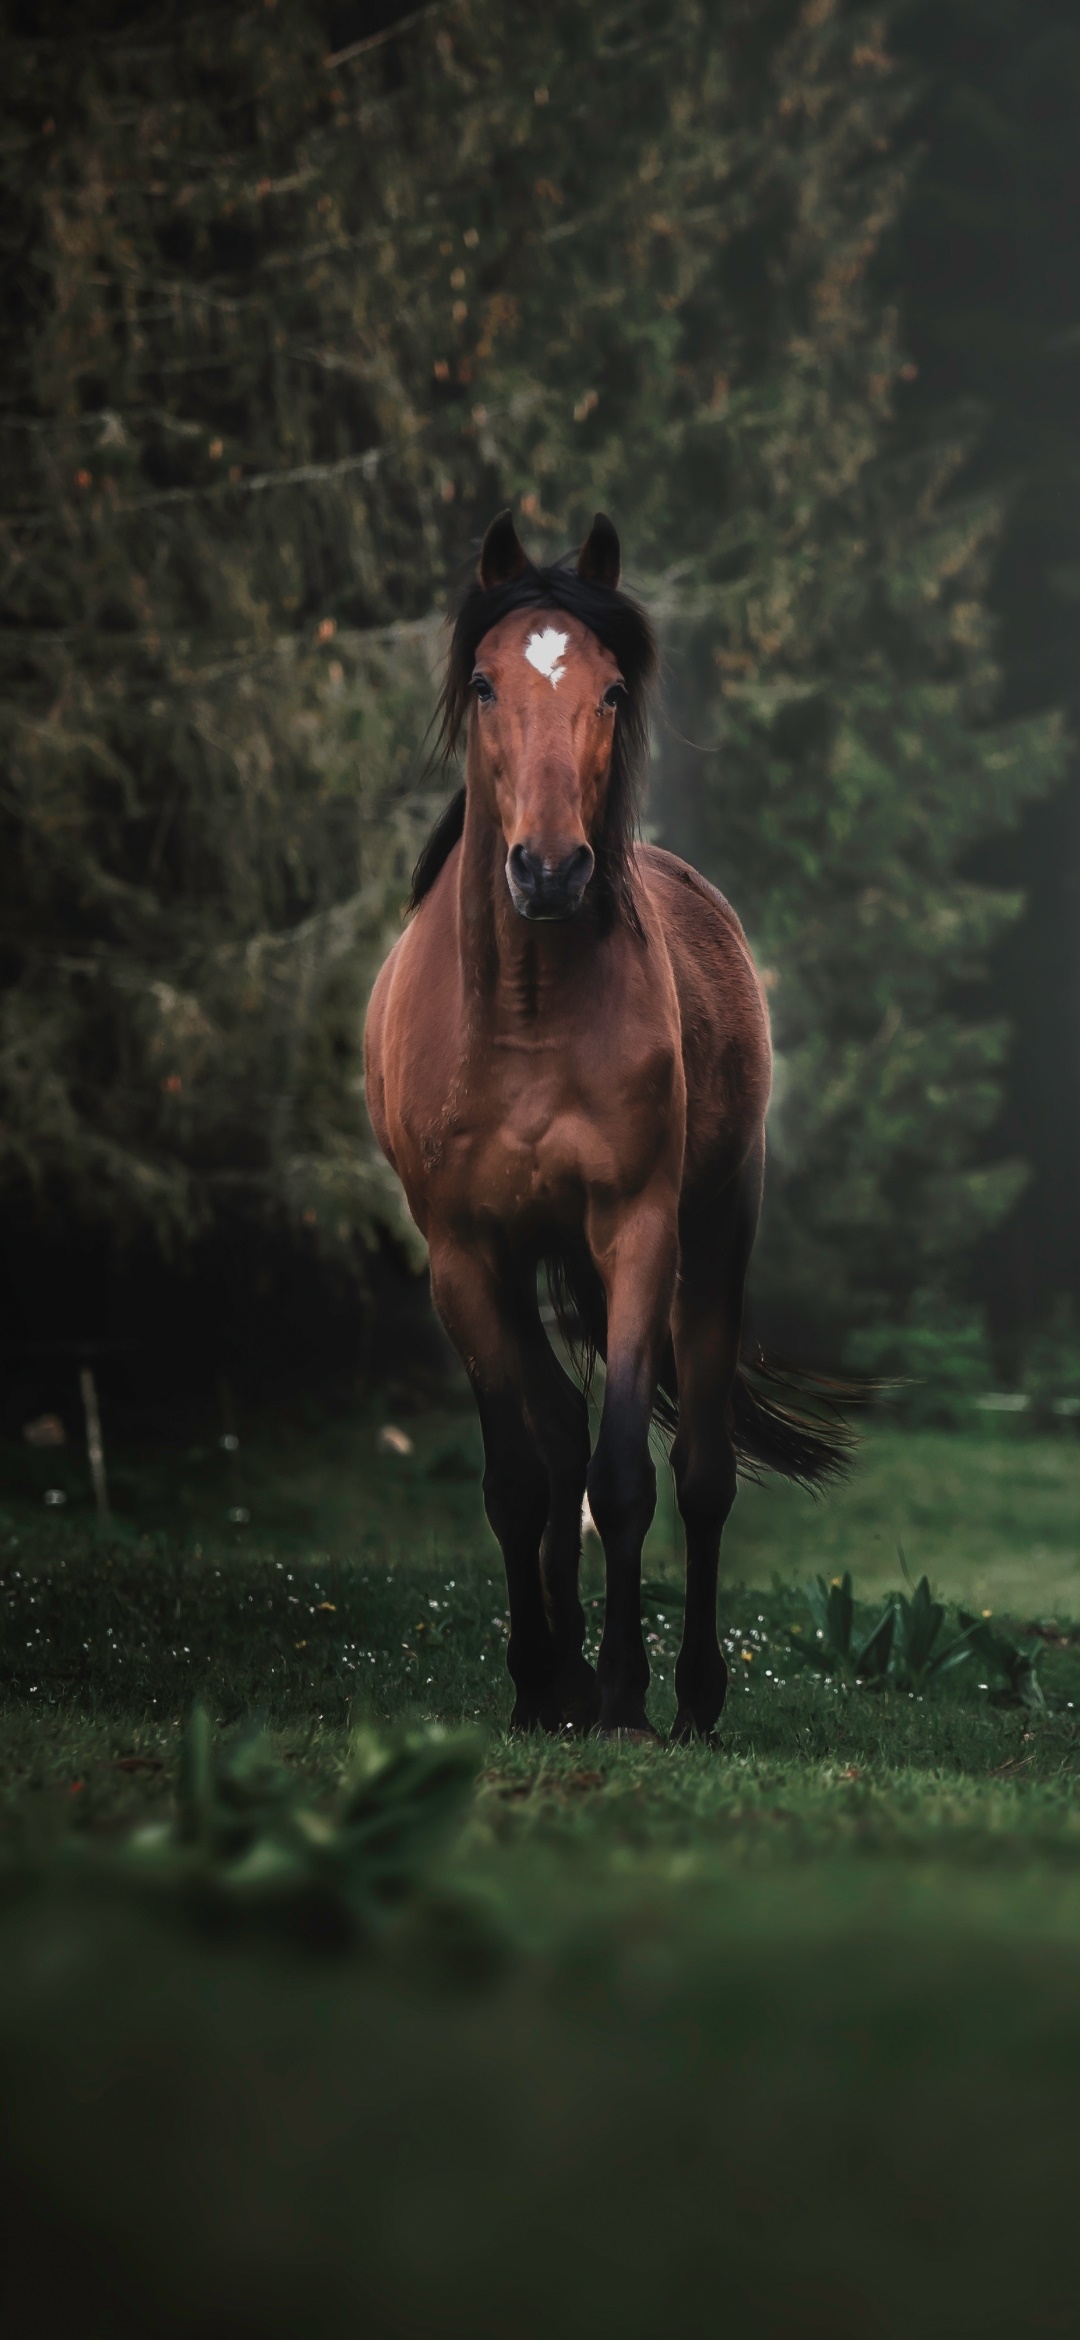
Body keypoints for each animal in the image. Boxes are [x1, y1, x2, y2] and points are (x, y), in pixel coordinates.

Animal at [365, 510, 851, 1740]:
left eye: (613, 689)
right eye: (485, 683)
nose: (548, 869)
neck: (527, 1013)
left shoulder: (637, 1234)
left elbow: (627, 1476)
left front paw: (627, 1695)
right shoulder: (465, 1257)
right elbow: (520, 1477)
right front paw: (543, 1683)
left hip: (716, 1237)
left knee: (701, 1471)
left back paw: (691, 1699)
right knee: (553, 1430)